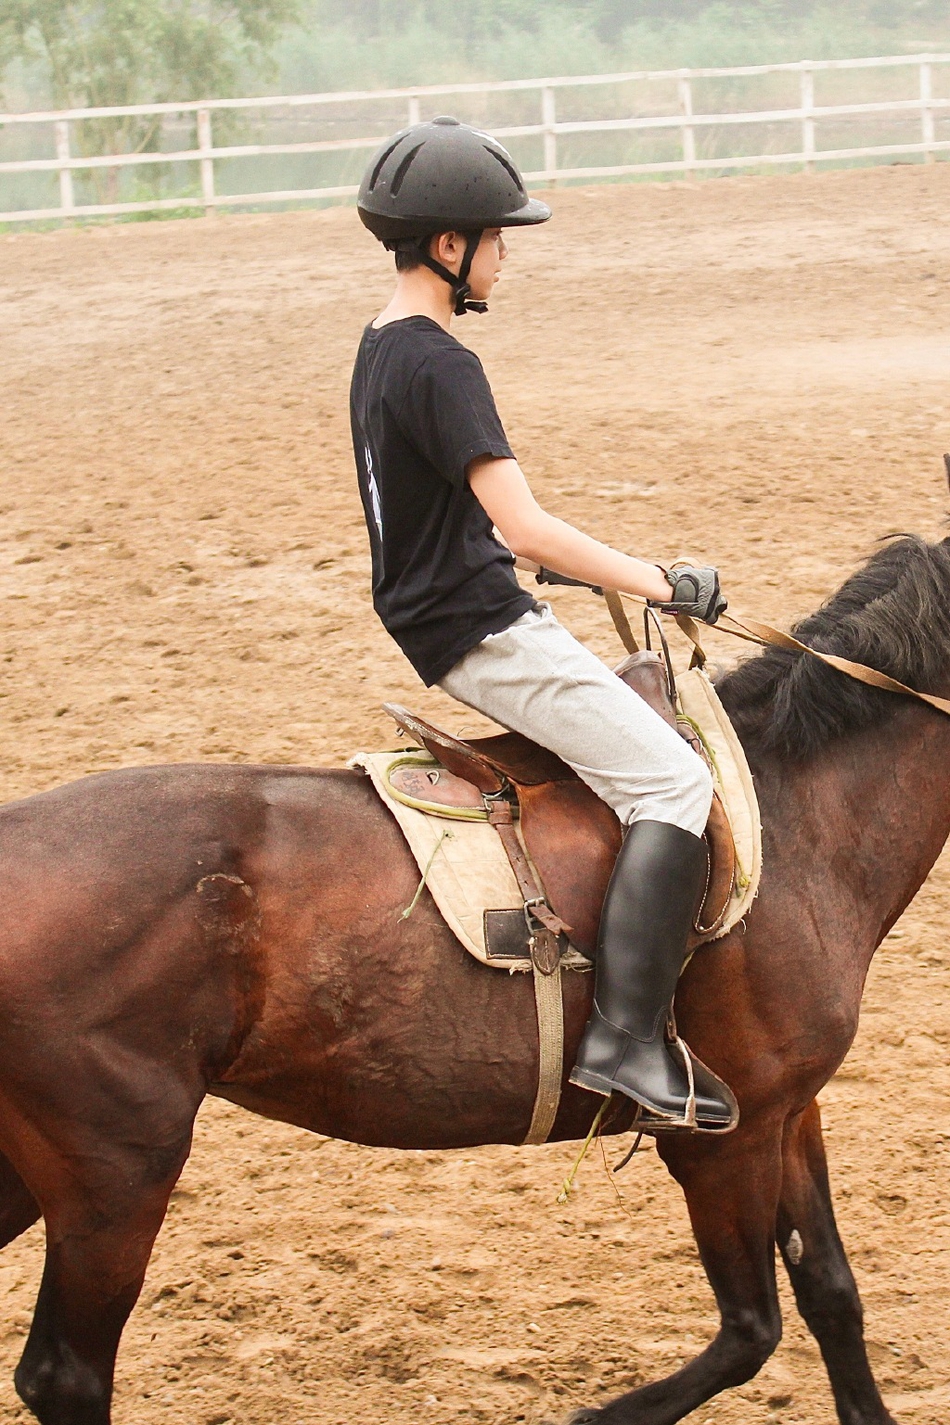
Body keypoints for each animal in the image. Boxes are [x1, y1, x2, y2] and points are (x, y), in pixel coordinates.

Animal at [1, 530, 950, 1419]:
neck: (797, 816)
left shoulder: (789, 1110)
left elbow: (830, 1291)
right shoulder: (726, 1137)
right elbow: (751, 1328)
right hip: (117, 1172)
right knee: (64, 1374)